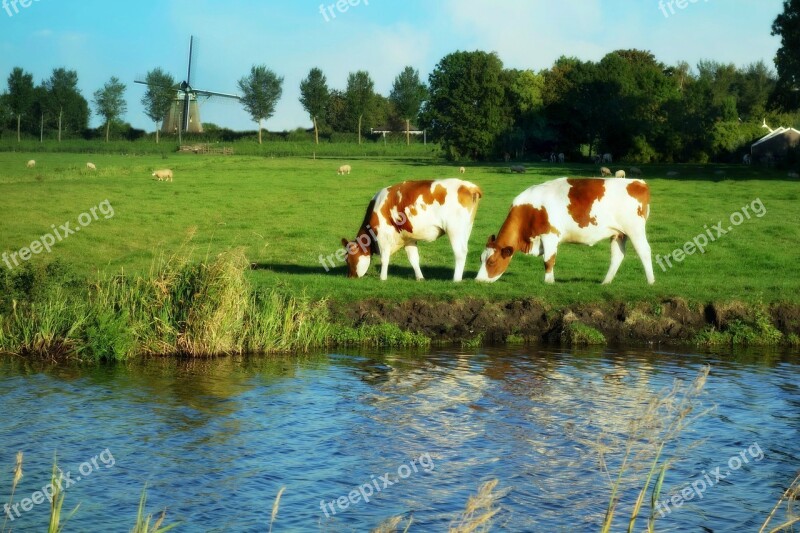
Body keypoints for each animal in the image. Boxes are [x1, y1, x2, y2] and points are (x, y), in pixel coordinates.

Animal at [342, 179, 482, 280]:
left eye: (348, 259)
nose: (349, 277)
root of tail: (469, 186)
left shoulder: (383, 237)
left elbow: (384, 258)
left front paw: (382, 278)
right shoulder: (408, 239)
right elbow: (414, 259)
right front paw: (420, 278)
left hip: (454, 230)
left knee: (460, 252)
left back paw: (456, 279)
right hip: (466, 229)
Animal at [478, 177, 652, 284]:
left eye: (491, 262)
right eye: (481, 259)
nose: (478, 280)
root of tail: (638, 182)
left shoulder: (550, 235)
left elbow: (548, 260)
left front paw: (548, 282)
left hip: (635, 230)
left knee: (644, 251)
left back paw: (650, 281)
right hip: (618, 234)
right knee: (617, 256)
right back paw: (605, 282)